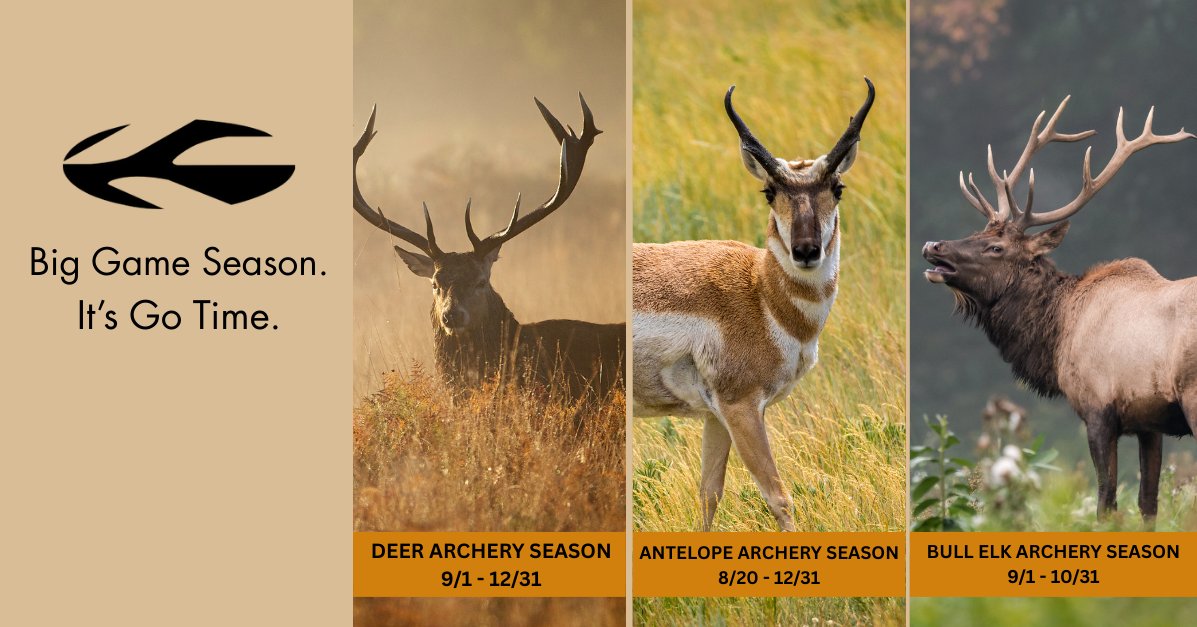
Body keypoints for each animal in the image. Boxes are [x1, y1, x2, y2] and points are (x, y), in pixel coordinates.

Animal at [633, 78, 875, 531]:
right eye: (769, 191)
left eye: (837, 188)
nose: (806, 250)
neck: (760, 292)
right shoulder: (741, 406)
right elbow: (779, 497)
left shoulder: (716, 416)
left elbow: (709, 494)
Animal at [922, 95, 1197, 523]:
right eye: (977, 231)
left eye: (996, 247)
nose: (933, 245)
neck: (1058, 332)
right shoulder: (1149, 421)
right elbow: (1148, 503)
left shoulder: (1098, 409)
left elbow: (1106, 503)